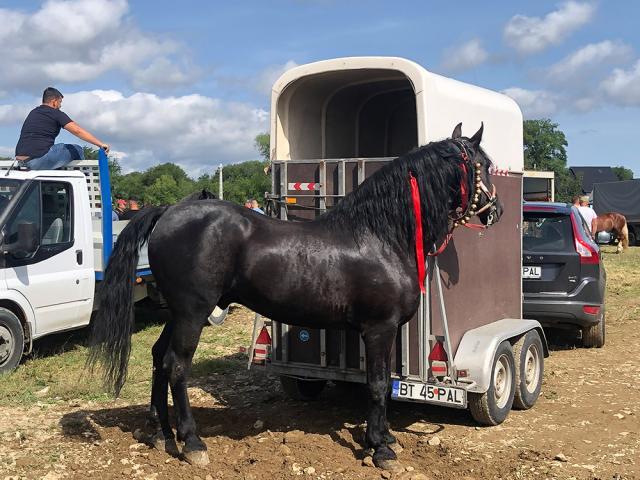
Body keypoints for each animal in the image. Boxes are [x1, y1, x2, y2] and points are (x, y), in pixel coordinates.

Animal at [87, 124, 502, 468]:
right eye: (483, 164)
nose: (495, 211)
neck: (379, 235)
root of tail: (170, 211)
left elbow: (381, 383)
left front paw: (384, 439)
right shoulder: (378, 329)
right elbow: (377, 384)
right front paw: (380, 448)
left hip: (176, 313)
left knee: (158, 357)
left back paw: (160, 432)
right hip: (193, 312)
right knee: (176, 365)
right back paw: (192, 443)